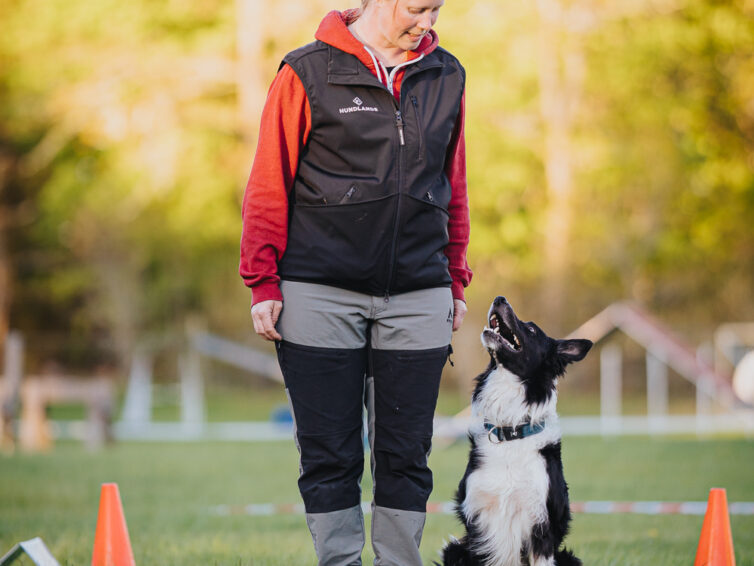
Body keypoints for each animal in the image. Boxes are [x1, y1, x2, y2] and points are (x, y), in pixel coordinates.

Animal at [438, 298, 592, 566]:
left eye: (531, 330)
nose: (500, 298)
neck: (510, 432)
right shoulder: (478, 522)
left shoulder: (541, 526)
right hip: (454, 549)